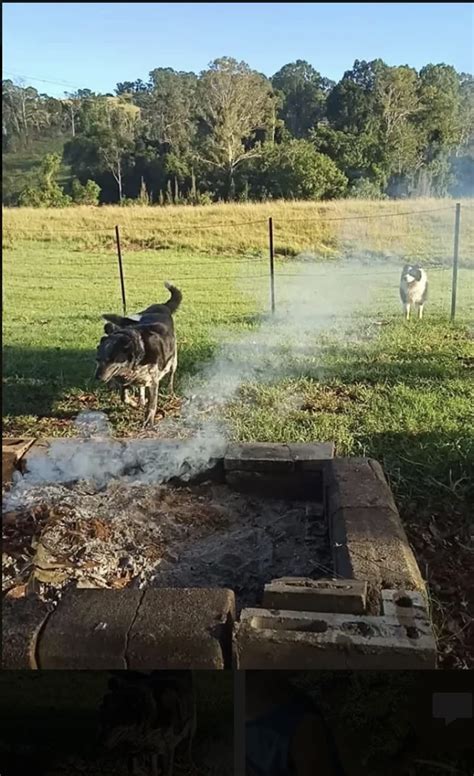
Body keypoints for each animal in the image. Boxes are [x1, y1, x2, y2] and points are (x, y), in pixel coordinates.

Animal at [94, 282, 181, 428]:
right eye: (98, 359)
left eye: (112, 359)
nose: (98, 377)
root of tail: (162, 306)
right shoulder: (126, 380)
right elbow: (124, 397)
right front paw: (134, 403)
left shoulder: (153, 381)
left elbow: (152, 405)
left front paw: (148, 421)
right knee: (141, 387)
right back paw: (141, 400)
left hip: (173, 361)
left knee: (171, 377)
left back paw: (170, 392)